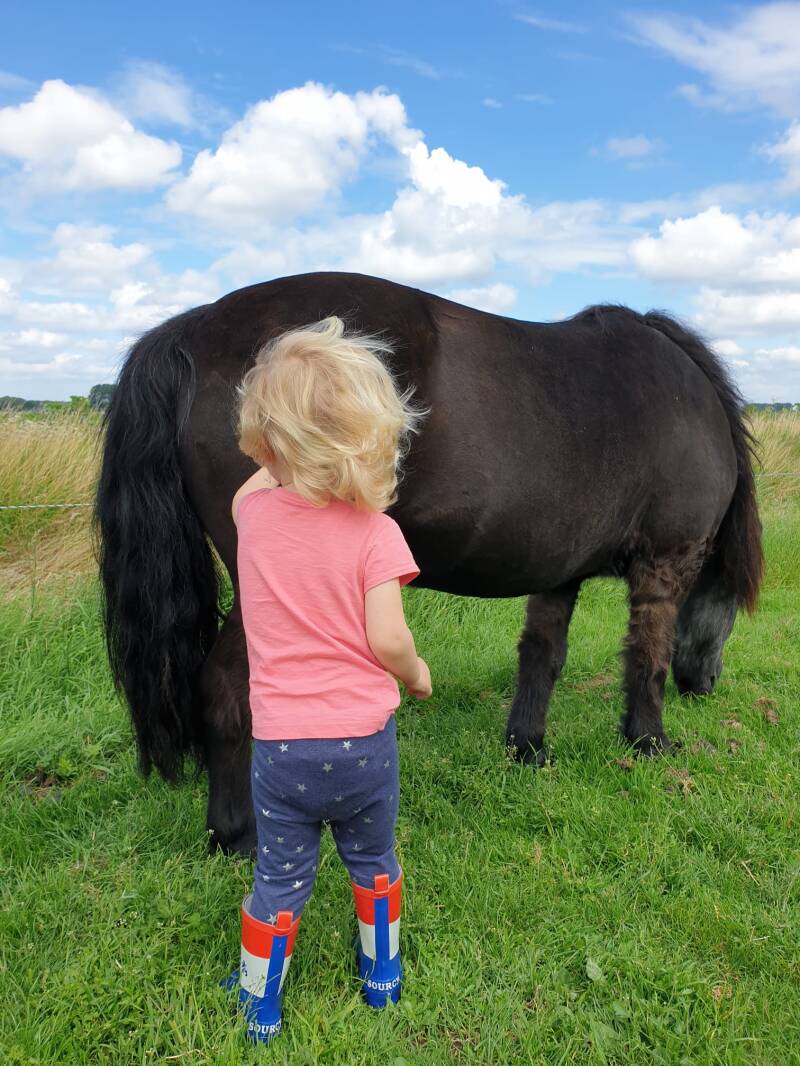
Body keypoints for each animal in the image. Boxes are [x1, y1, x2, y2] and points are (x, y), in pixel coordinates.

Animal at [96, 271, 763, 856]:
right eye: (736, 605)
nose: (707, 684)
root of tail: (198, 326)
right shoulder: (666, 562)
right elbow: (648, 657)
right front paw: (650, 741)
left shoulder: (558, 572)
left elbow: (543, 657)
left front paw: (528, 748)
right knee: (225, 689)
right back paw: (236, 835)